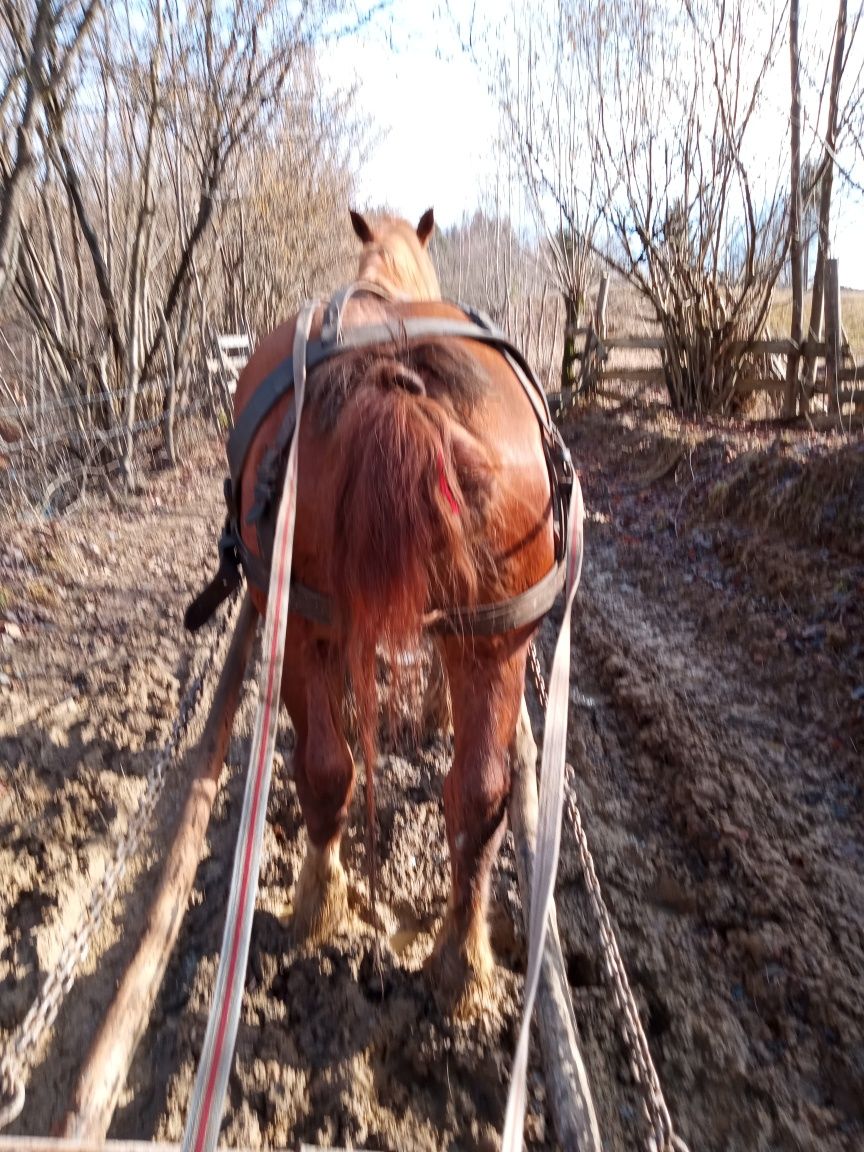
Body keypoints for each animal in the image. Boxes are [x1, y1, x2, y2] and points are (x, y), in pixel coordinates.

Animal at [208, 209, 564, 1009]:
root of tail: (395, 379)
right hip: (495, 636)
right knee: (471, 793)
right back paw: (454, 957)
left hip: (304, 621)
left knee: (335, 769)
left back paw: (333, 909)